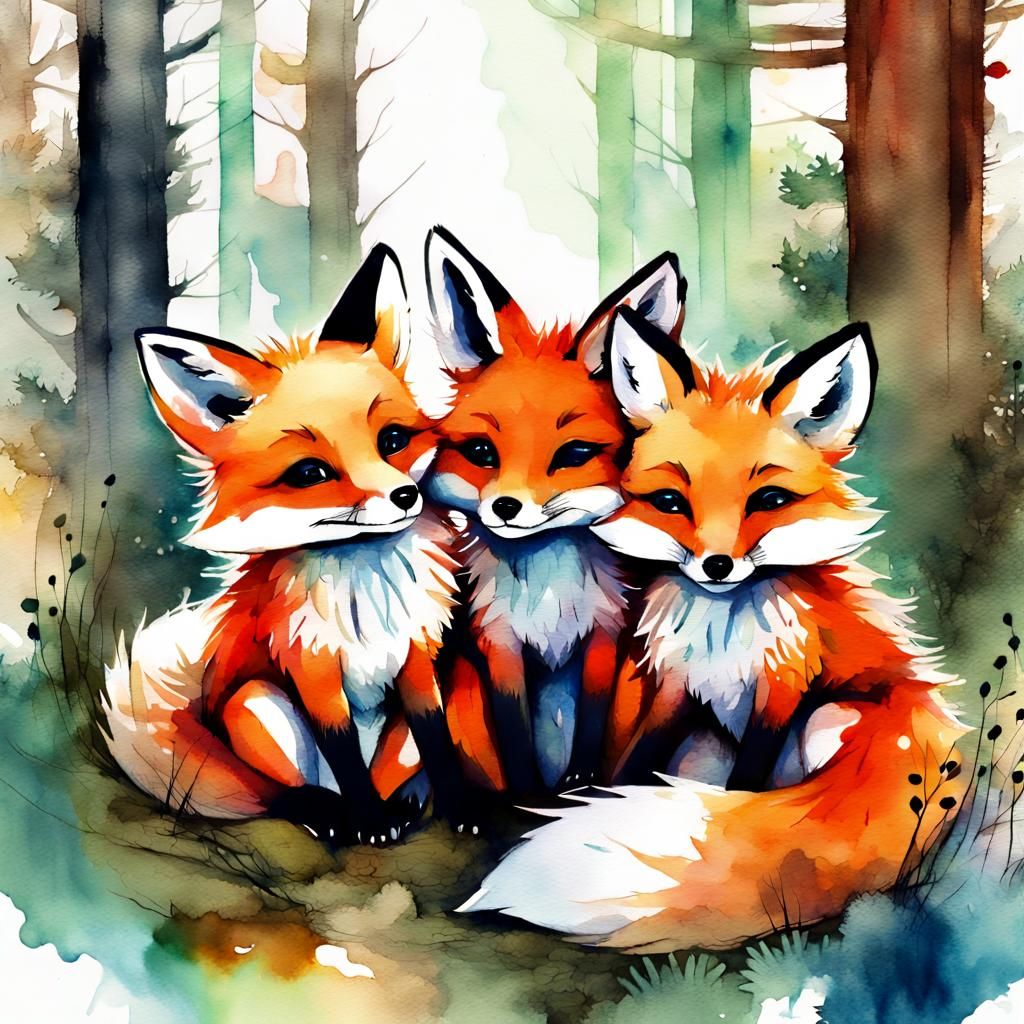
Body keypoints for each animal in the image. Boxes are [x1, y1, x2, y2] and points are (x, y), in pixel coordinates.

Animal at [103, 244, 472, 845]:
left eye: (393, 440)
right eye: (310, 472)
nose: (404, 496)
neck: (366, 586)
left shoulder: (418, 657)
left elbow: (436, 739)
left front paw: (460, 806)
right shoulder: (311, 666)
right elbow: (343, 754)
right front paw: (367, 824)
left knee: (391, 774)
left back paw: (405, 804)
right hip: (257, 703)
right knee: (280, 793)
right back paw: (330, 813)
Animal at [423, 227, 685, 795]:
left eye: (574, 454)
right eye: (481, 451)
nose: (506, 506)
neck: (546, 597)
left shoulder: (605, 635)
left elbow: (591, 721)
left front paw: (582, 781)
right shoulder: (497, 642)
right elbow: (514, 734)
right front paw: (526, 792)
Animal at [460, 307, 968, 951]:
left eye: (768, 499)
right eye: (672, 502)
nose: (717, 565)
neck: (721, 635)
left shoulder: (784, 682)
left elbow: (749, 781)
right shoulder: (677, 680)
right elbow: (638, 757)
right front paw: (594, 787)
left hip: (832, 719)